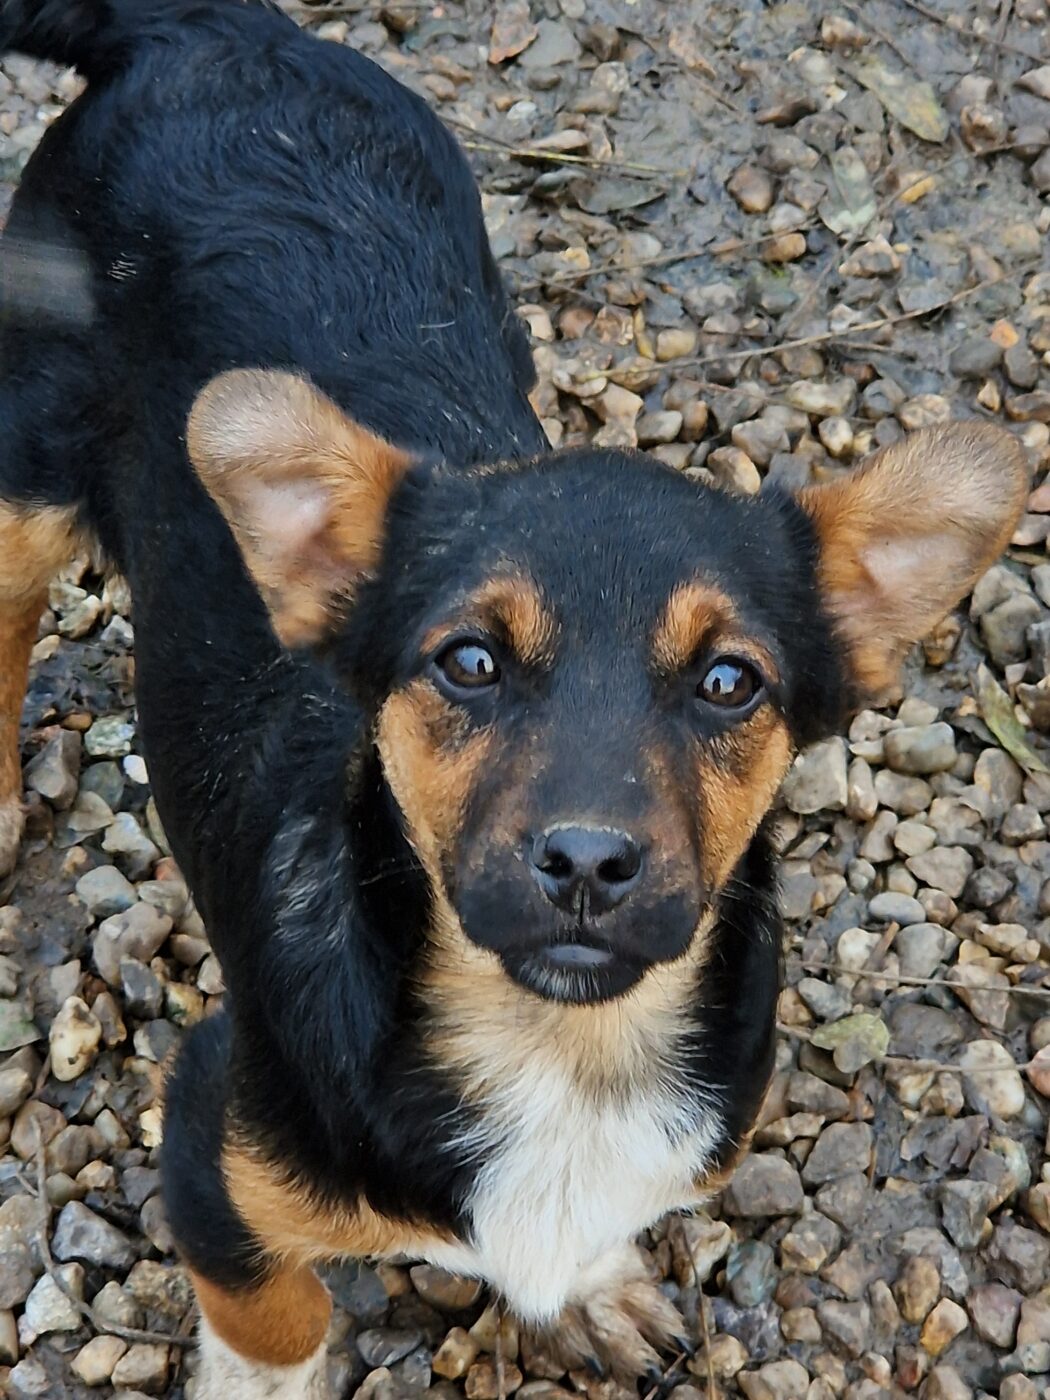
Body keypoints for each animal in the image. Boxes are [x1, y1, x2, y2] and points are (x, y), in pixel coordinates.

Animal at [0, 2, 1029, 1397]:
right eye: (469, 662)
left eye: (730, 681)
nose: (588, 862)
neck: (560, 1052)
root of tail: (212, 28)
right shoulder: (214, 1135)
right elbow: (276, 1318)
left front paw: (584, 1289)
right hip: (26, 458)